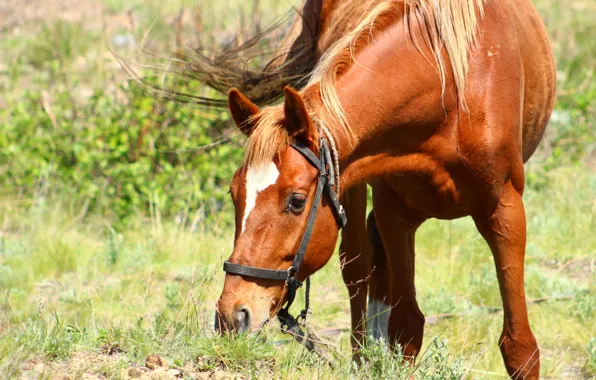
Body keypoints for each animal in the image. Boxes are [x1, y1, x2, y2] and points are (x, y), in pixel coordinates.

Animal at [212, 0, 556, 378]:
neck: (449, 92)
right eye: (234, 194)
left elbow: (519, 348)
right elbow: (407, 326)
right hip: (350, 184)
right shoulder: (395, 215)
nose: (233, 313)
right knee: (357, 266)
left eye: (296, 201)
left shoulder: (505, 211)